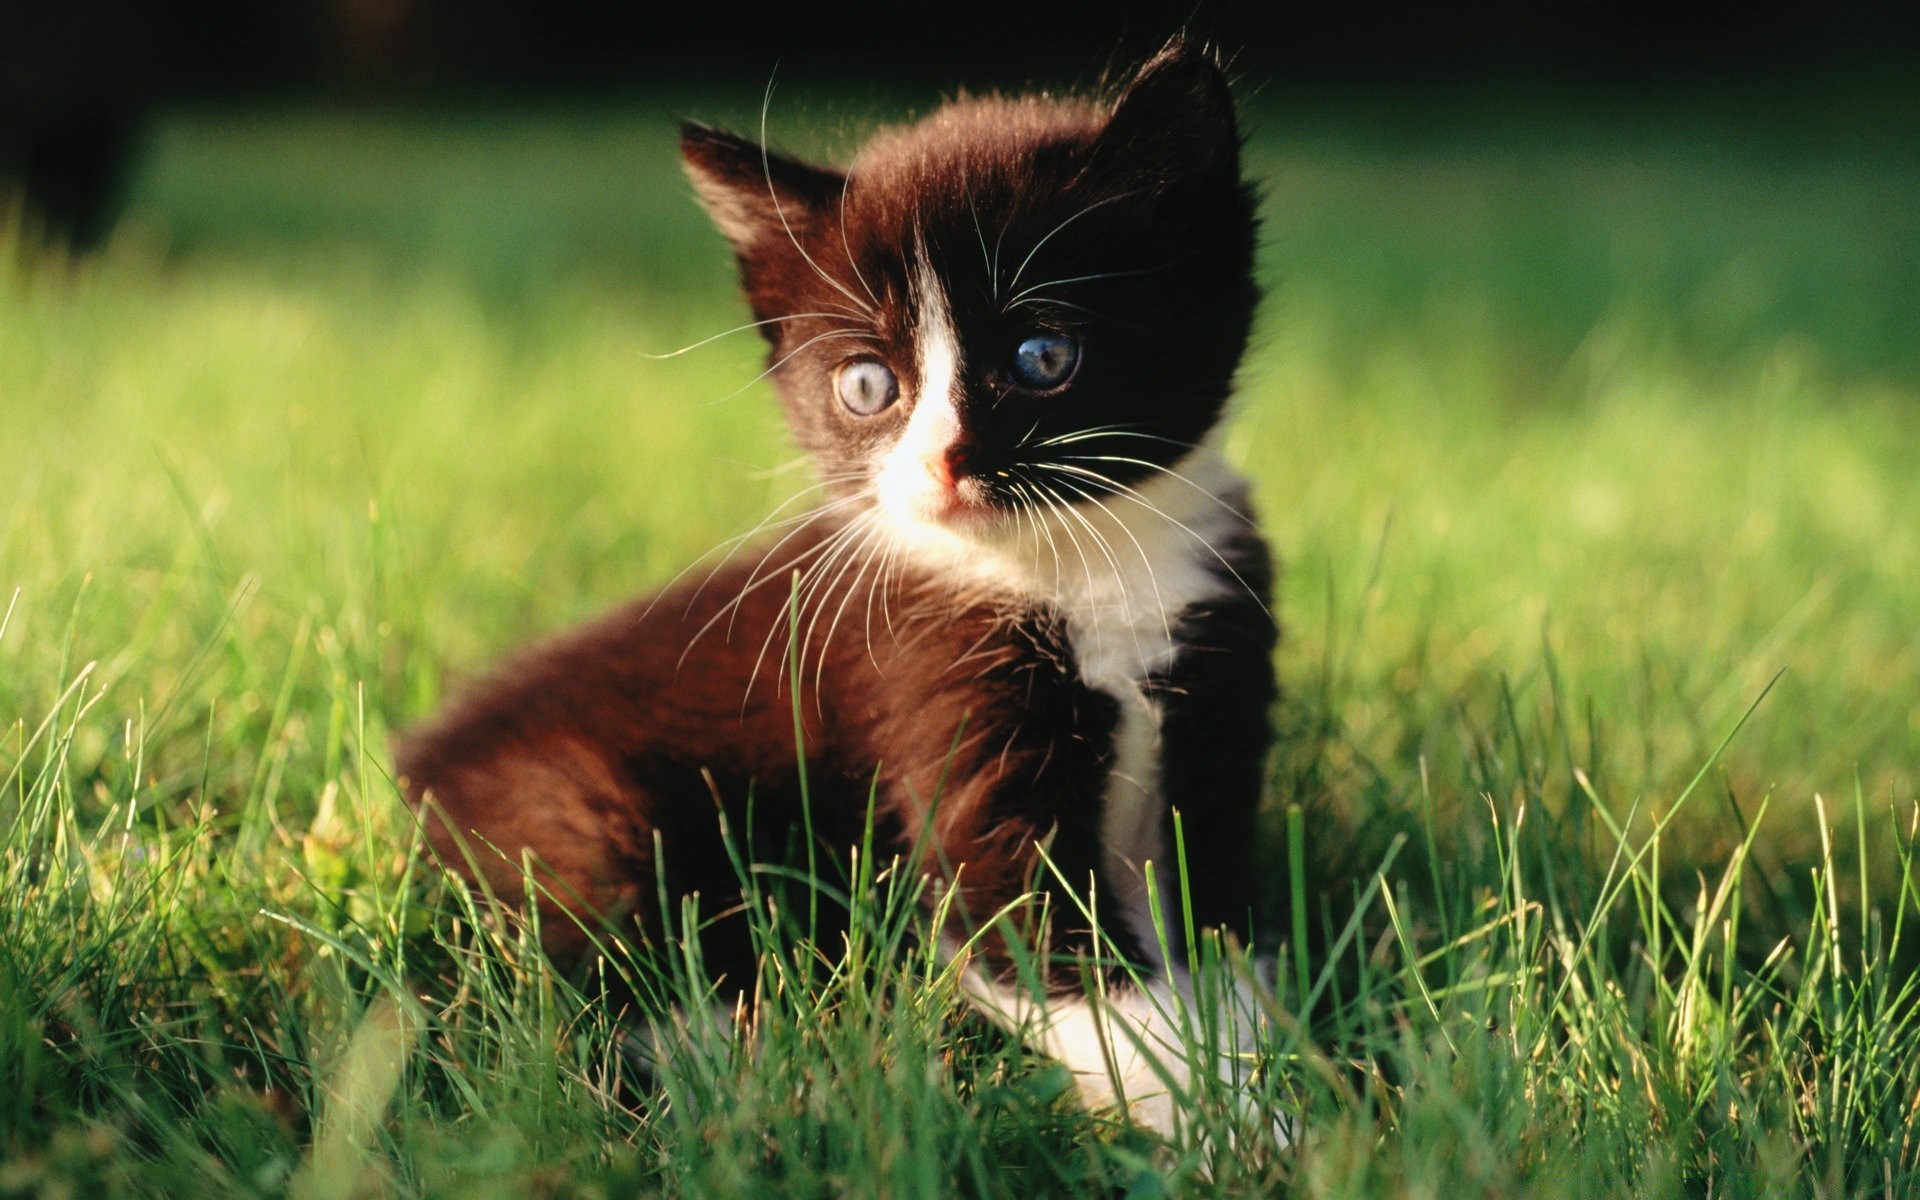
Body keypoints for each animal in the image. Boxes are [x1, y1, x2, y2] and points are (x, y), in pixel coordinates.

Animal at [399, 44, 1282, 1128]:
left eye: (1042, 355)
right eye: (867, 385)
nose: (943, 462)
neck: (1081, 568)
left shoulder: (1219, 667)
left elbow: (1222, 932)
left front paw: (1276, 1063)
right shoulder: (933, 696)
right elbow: (1055, 960)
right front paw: (1235, 1122)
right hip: (565, 806)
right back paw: (764, 1076)